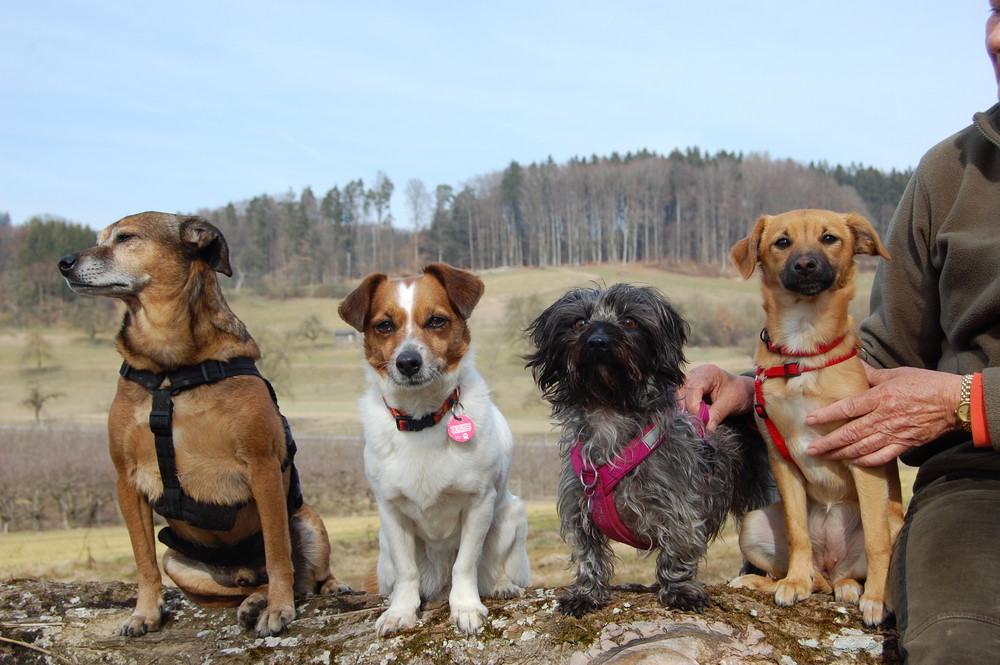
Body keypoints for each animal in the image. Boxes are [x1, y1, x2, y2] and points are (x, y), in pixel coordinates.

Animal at [58, 213, 350, 640]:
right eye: (99, 238)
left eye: (125, 238)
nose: (63, 263)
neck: (170, 369)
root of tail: (240, 570)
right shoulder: (126, 479)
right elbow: (143, 560)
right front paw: (145, 612)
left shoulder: (262, 465)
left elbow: (278, 553)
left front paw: (280, 608)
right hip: (180, 563)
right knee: (242, 588)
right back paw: (252, 599)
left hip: (307, 521)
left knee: (305, 576)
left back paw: (307, 590)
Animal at [524, 282, 772, 616]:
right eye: (579, 322)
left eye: (630, 321)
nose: (598, 341)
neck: (610, 412)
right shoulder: (580, 508)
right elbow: (590, 556)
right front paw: (586, 594)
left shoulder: (680, 509)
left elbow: (677, 552)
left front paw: (679, 590)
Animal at [728, 210, 908, 624]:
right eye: (782, 242)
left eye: (829, 238)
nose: (806, 265)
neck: (803, 348)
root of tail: (831, 564)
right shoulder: (781, 459)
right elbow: (798, 534)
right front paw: (794, 583)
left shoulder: (864, 454)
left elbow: (877, 544)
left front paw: (877, 598)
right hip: (754, 522)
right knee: (814, 569)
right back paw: (773, 580)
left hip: (894, 520)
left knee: (852, 570)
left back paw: (856, 589)